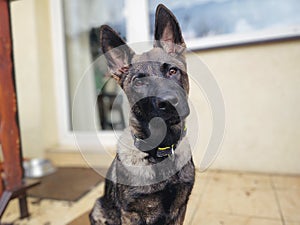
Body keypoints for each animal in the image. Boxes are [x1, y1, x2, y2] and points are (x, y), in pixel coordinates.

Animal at [90, 3, 196, 225]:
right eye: (139, 82)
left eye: (172, 71)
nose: (168, 101)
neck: (160, 150)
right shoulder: (131, 214)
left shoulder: (180, 209)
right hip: (97, 208)